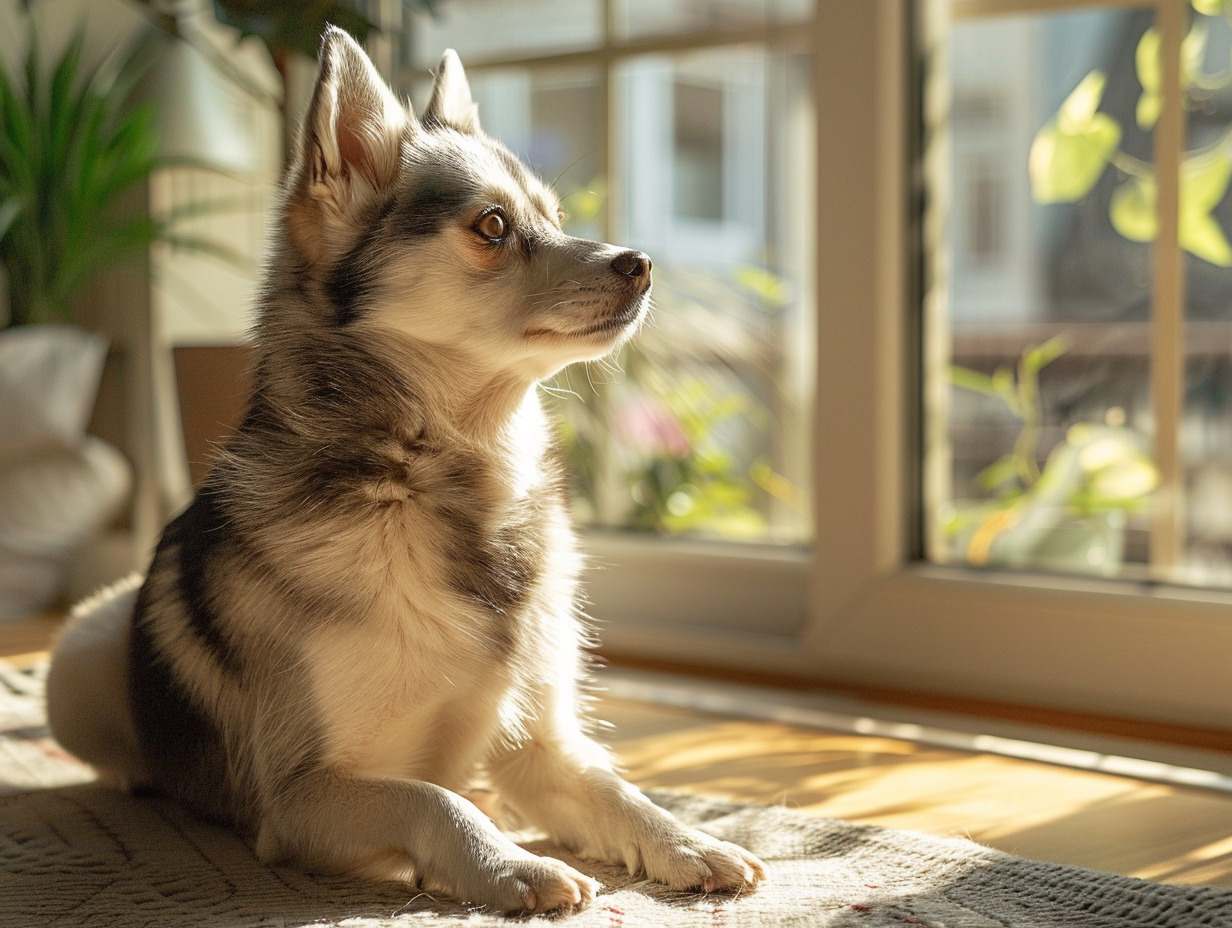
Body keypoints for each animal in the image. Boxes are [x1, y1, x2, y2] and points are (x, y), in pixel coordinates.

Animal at [48, 27, 763, 911]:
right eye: (492, 225)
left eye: (556, 218)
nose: (642, 263)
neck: (446, 480)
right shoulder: (300, 798)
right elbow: (433, 798)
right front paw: (511, 864)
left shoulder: (542, 746)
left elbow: (617, 789)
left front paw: (690, 841)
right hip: (79, 656)